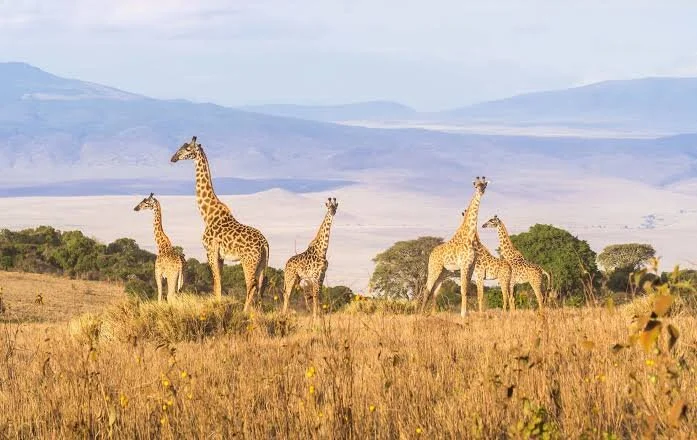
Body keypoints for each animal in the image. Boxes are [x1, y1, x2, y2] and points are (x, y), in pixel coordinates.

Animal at [170, 136, 269, 312]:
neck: (207, 215)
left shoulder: (210, 251)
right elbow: (220, 283)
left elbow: (216, 283)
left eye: (187, 149)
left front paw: (217, 306)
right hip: (262, 264)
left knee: (250, 286)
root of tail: (265, 243)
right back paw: (256, 312)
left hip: (248, 262)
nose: (173, 158)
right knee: (260, 287)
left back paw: (245, 312)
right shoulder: (221, 256)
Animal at [421, 176, 488, 317]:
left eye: (484, 185)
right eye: (476, 185)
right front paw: (463, 314)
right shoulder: (464, 265)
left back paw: (433, 314)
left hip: (444, 272)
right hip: (434, 268)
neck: (470, 236)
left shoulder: (471, 266)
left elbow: (467, 290)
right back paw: (420, 313)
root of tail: (431, 253)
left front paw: (466, 313)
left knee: (435, 291)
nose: (481, 191)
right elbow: (463, 290)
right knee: (427, 289)